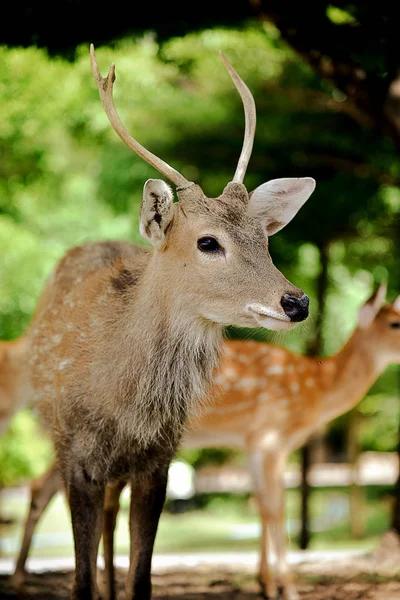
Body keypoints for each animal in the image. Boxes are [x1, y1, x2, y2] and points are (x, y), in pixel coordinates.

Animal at [3, 43, 316, 600]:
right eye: (208, 241)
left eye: (265, 238)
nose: (296, 302)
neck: (125, 406)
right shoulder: (76, 455)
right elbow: (79, 581)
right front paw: (92, 585)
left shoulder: (160, 459)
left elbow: (143, 578)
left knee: (111, 520)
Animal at [9, 284, 400, 596]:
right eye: (394, 323)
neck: (314, 390)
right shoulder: (269, 435)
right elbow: (275, 508)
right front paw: (287, 588)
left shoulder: (253, 442)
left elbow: (262, 505)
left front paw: (265, 583)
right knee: (47, 486)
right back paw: (24, 579)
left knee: (60, 489)